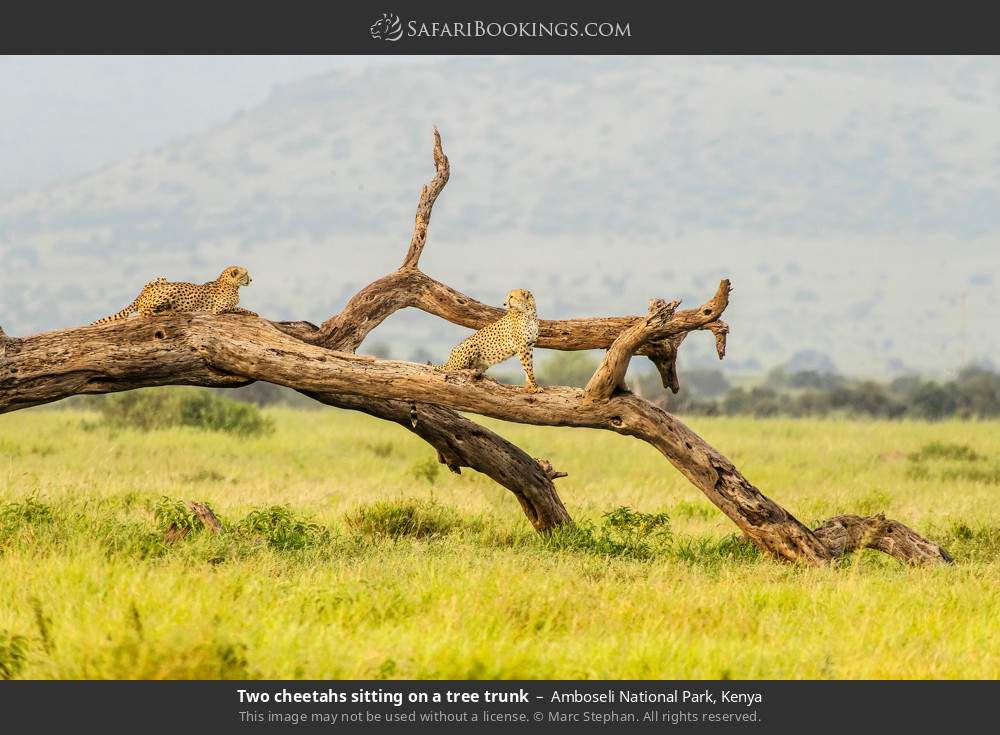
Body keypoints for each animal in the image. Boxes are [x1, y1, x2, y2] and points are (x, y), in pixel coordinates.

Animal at [93, 264, 258, 322]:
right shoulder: (219, 309)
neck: (231, 283)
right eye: (245, 274)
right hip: (171, 287)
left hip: (161, 278)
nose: (251, 279)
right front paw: (253, 313)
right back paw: (166, 312)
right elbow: (239, 308)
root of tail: (141, 294)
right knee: (144, 312)